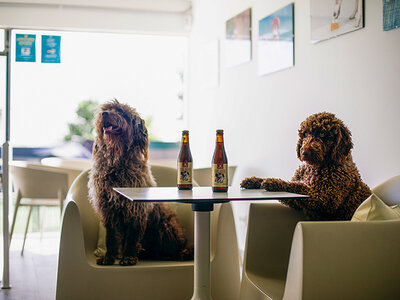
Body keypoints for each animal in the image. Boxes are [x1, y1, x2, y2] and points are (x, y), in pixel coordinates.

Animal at [88, 99, 194, 266]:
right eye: (107, 109)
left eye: (121, 112)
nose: (104, 114)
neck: (117, 163)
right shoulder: (108, 209)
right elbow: (111, 237)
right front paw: (109, 257)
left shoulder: (136, 209)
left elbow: (132, 235)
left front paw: (128, 256)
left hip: (166, 225)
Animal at [241, 112, 372, 220]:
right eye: (305, 134)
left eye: (322, 134)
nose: (304, 152)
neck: (315, 167)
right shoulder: (298, 201)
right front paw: (252, 180)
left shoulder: (324, 198)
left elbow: (296, 186)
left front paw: (273, 183)